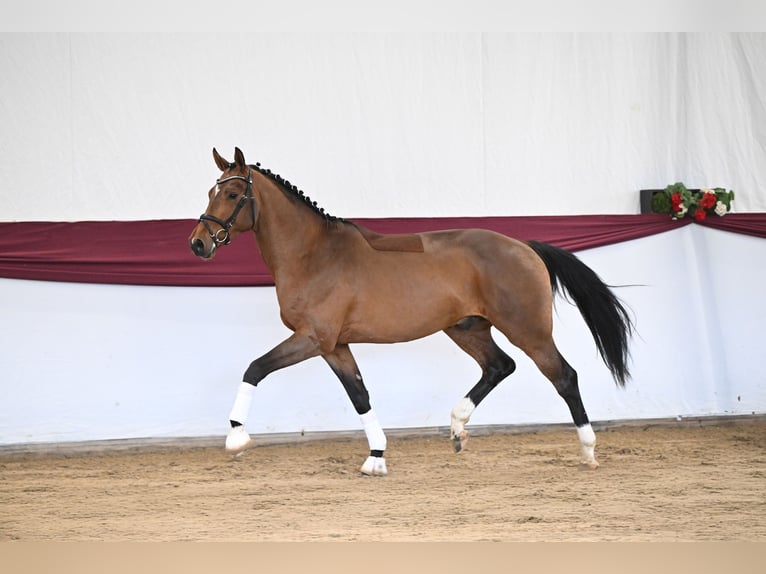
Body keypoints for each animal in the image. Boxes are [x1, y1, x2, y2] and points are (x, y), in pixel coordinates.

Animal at [188, 147, 633, 476]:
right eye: (210, 192)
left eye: (232, 195)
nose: (198, 243)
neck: (313, 254)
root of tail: (525, 246)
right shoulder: (334, 346)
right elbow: (360, 395)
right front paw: (376, 458)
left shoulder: (312, 337)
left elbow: (255, 368)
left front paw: (236, 438)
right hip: (467, 327)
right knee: (499, 366)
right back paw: (457, 428)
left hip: (528, 329)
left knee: (564, 376)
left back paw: (588, 452)